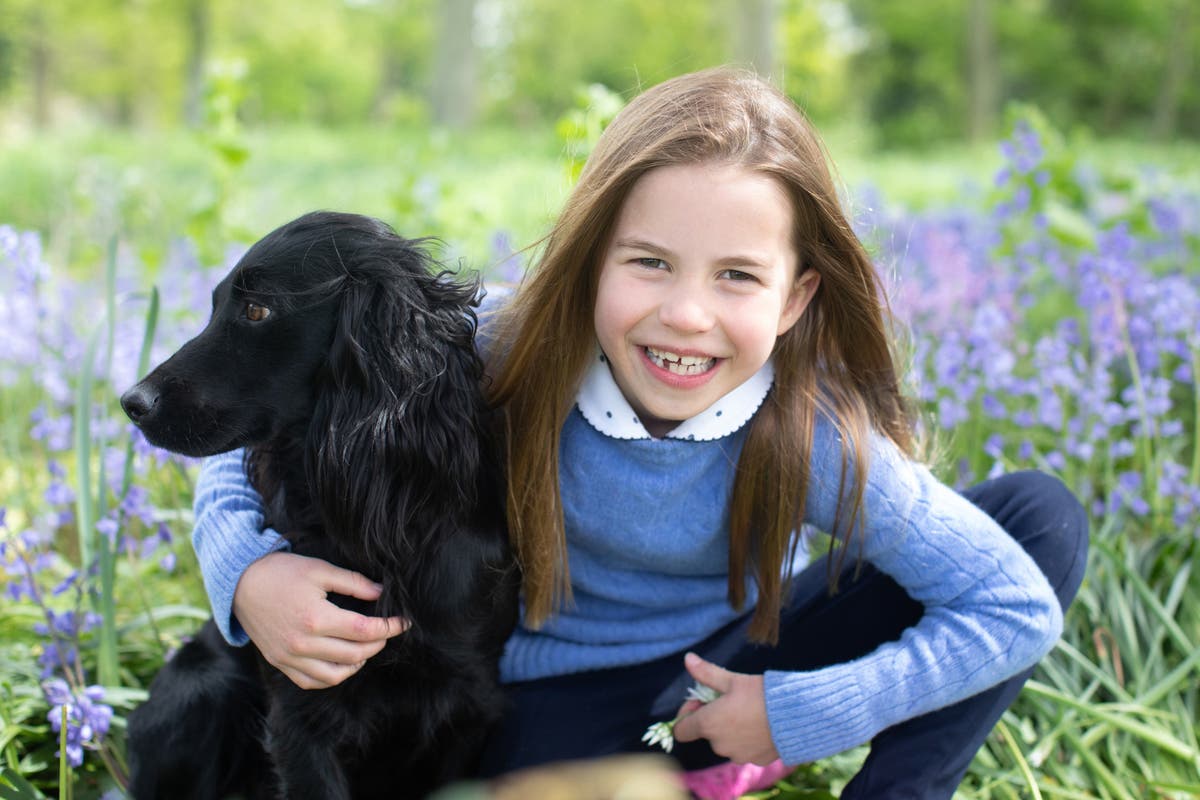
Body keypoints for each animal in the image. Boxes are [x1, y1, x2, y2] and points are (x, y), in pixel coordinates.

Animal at [119, 209, 523, 796]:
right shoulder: (303, 708)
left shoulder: (470, 704)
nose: (132, 402)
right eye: (215, 304)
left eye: (257, 309)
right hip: (201, 687)